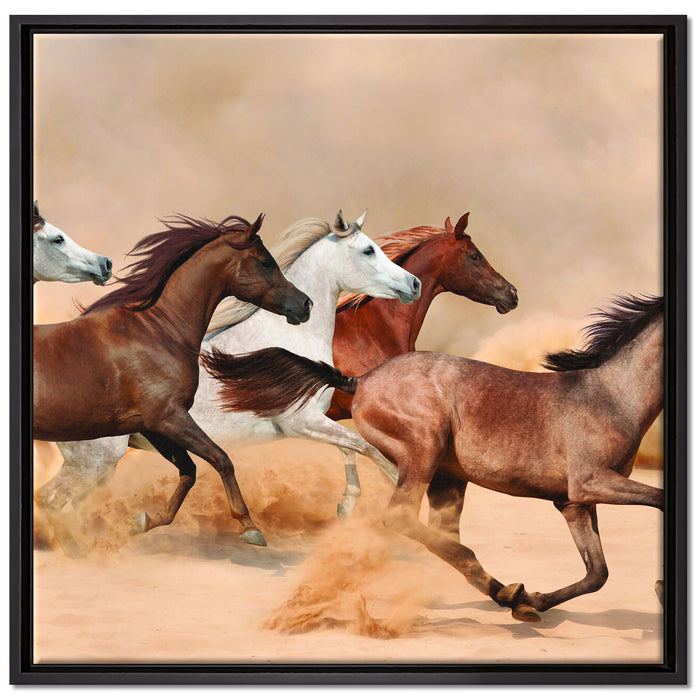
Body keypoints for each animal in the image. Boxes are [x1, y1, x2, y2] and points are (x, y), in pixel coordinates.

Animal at [37, 210, 421, 553]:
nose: (413, 284)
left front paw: (348, 506)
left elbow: (352, 448)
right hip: (96, 460)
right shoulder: (301, 422)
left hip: (100, 465)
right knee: (52, 499)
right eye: (369, 250)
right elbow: (367, 448)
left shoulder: (317, 420)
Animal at [200, 295, 664, 622]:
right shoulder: (591, 482)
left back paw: (505, 591)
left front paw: (533, 601)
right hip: (425, 449)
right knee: (402, 517)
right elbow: (659, 503)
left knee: (441, 533)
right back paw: (497, 586)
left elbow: (597, 573)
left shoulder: (573, 501)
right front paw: (660, 586)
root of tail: (360, 379)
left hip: (448, 477)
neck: (611, 396)